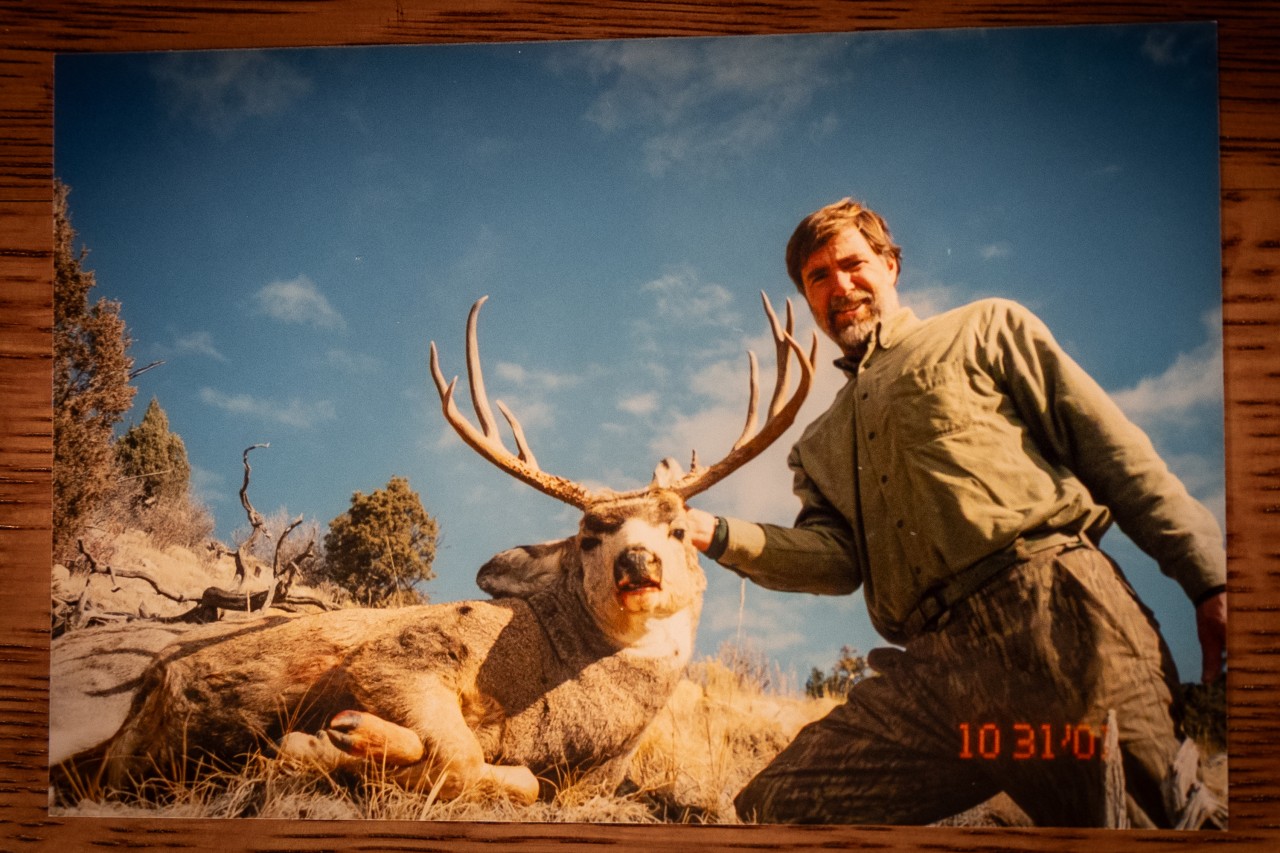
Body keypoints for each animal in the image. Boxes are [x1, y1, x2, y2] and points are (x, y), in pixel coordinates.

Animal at [51, 293, 816, 806]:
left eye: (680, 530)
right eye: (590, 534)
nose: (638, 563)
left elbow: (505, 775)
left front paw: (333, 745)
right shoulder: (403, 654)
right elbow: (471, 761)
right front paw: (333, 738)